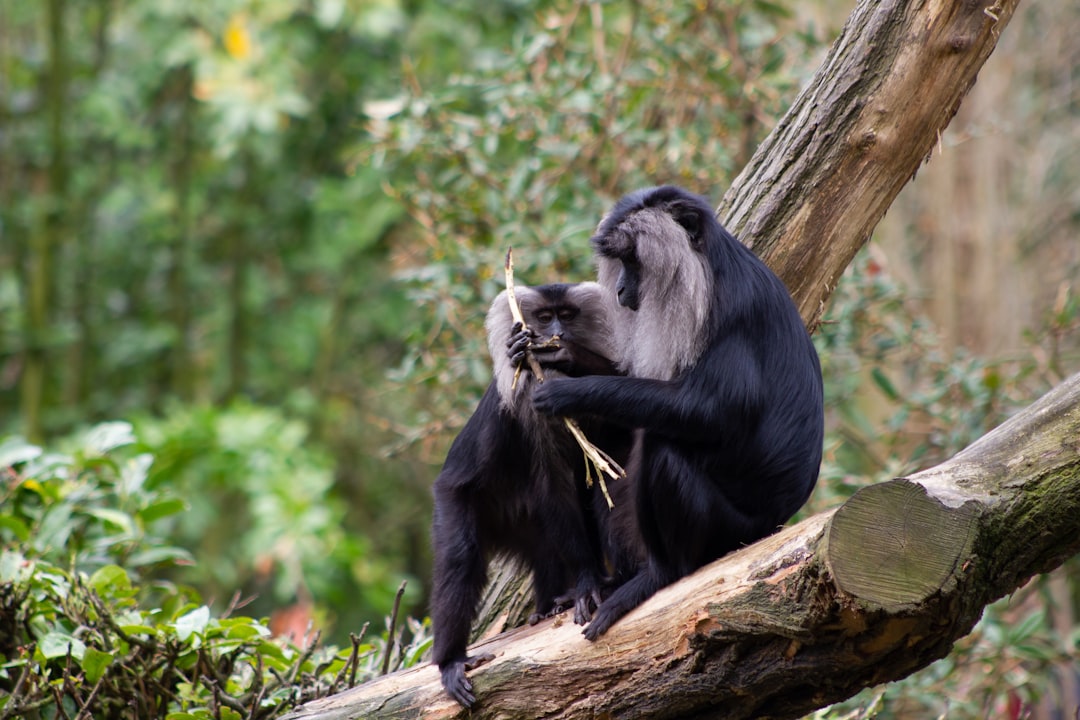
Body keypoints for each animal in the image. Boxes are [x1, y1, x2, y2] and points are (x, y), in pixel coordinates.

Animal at [429, 280, 630, 708]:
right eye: (543, 317)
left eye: (567, 316)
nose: (554, 334)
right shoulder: (530, 404)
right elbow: (553, 482)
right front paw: (587, 583)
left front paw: (570, 356)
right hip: (458, 499)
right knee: (460, 556)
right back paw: (451, 661)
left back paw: (553, 604)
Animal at [533, 187, 825, 643]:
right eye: (621, 263)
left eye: (633, 260)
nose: (620, 289)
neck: (708, 269)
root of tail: (771, 526)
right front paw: (564, 355)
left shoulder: (730, 309)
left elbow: (712, 414)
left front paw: (571, 393)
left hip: (727, 530)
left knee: (664, 446)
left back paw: (658, 576)